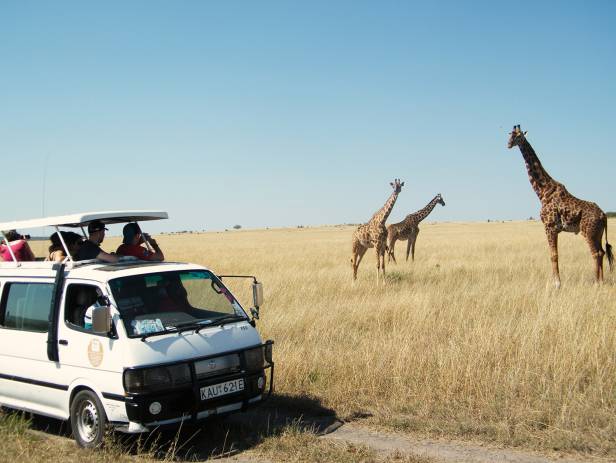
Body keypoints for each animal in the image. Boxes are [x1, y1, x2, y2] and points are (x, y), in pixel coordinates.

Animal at [506, 125, 612, 288]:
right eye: (510, 134)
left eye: (518, 136)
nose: (508, 144)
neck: (543, 191)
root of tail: (603, 215)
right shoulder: (554, 229)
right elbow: (555, 255)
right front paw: (557, 282)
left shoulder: (549, 227)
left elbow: (553, 255)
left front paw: (557, 284)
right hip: (598, 233)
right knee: (602, 252)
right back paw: (601, 281)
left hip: (588, 231)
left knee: (596, 253)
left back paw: (596, 283)